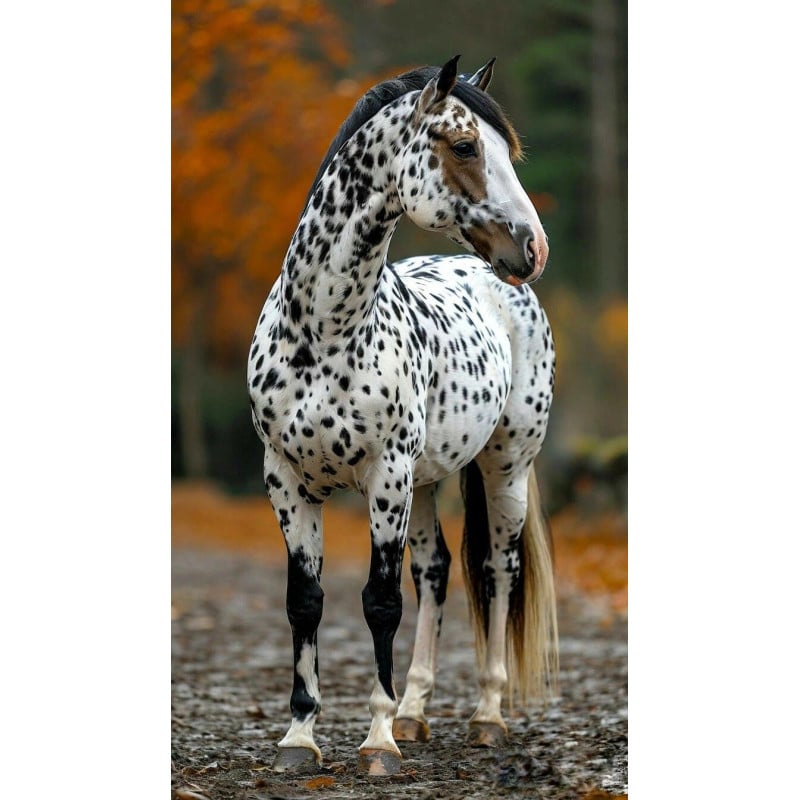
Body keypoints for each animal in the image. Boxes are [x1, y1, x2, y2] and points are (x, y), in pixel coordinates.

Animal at [247, 55, 558, 776]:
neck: (325, 331)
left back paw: (486, 716)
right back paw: (416, 709)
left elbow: (380, 602)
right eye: (466, 145)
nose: (534, 249)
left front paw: (377, 738)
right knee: (437, 570)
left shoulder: (383, 475)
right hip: (423, 482)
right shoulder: (286, 481)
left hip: (503, 468)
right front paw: (301, 735)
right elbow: (305, 602)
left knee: (497, 571)